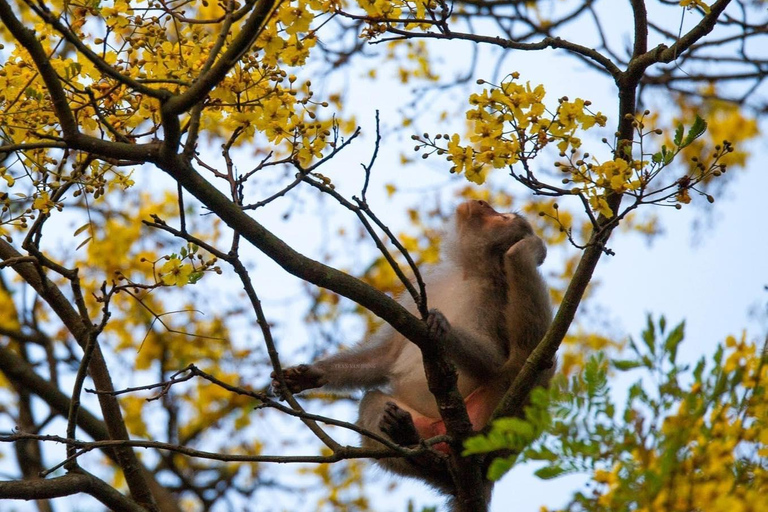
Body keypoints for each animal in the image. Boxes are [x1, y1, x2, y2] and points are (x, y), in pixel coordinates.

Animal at [272, 199, 556, 504]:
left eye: (501, 218)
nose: (481, 202)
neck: (467, 272)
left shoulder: (493, 296)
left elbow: (494, 363)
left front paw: (442, 326)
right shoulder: (423, 292)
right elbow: (385, 358)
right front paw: (309, 375)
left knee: (531, 360)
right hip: (429, 429)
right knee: (373, 401)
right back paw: (414, 446)